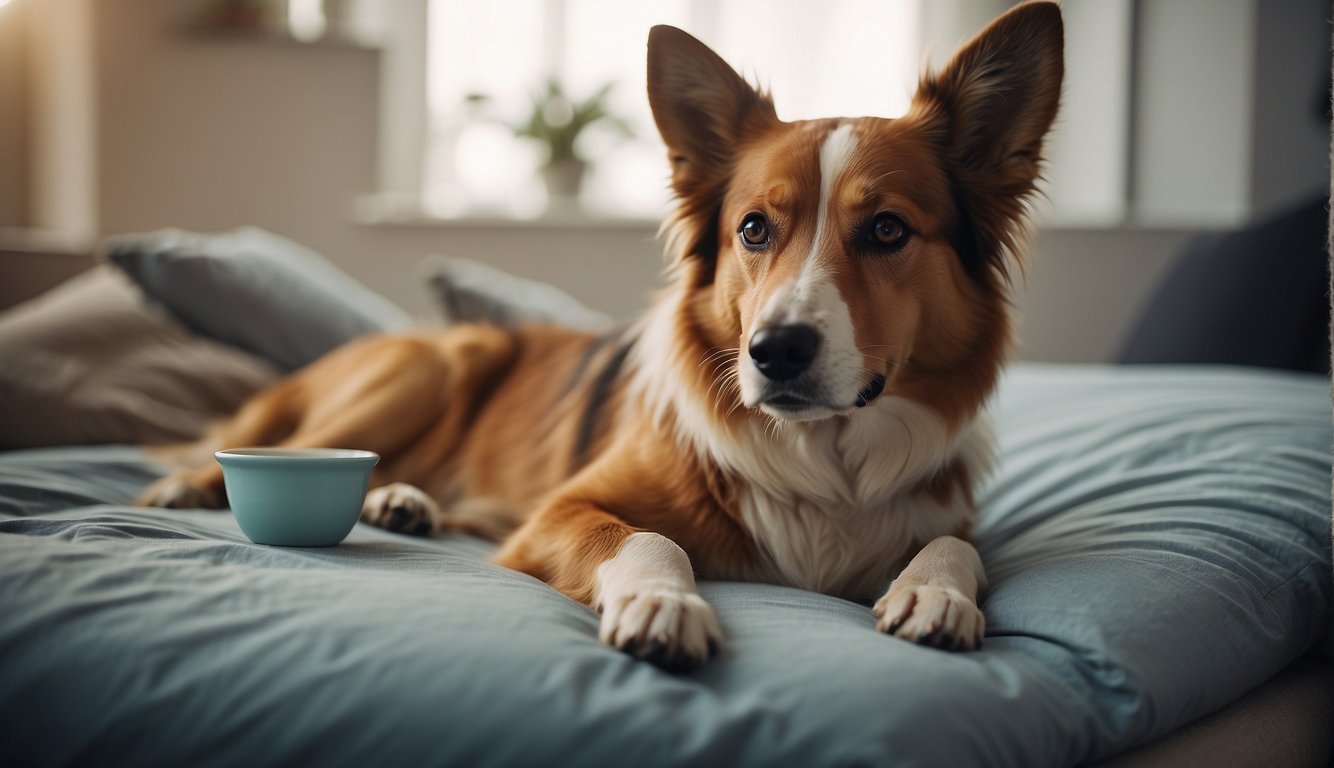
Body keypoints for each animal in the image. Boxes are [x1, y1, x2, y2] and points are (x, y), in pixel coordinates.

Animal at [140, 0, 1067, 669]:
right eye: (755, 229)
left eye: (886, 230)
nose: (774, 353)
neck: (823, 454)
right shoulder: (561, 510)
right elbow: (650, 537)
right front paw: (665, 602)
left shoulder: (945, 511)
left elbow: (958, 545)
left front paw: (939, 593)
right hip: (439, 363)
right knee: (275, 449)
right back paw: (192, 485)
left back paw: (402, 501)